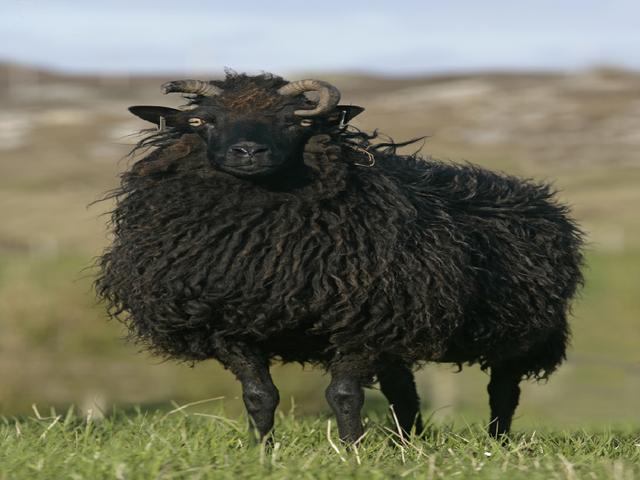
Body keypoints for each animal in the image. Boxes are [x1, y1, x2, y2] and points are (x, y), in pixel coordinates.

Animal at [96, 72, 584, 443]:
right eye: (202, 120)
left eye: (293, 121)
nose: (248, 151)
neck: (265, 249)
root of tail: (537, 197)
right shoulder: (228, 323)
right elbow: (259, 396)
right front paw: (262, 450)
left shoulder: (358, 321)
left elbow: (344, 396)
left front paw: (352, 451)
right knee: (404, 392)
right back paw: (411, 444)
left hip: (524, 331)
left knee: (503, 391)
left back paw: (496, 443)